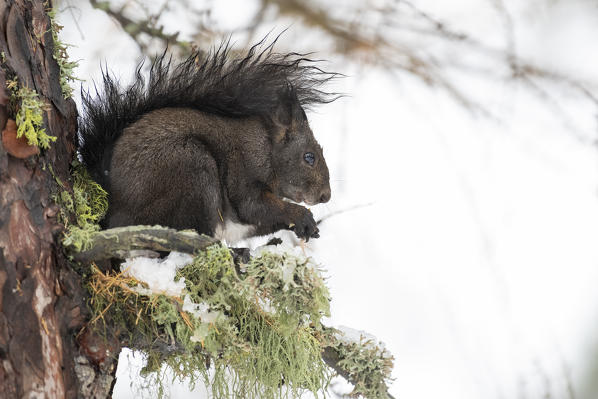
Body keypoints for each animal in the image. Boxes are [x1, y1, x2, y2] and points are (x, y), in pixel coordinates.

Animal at [79, 39, 340, 244]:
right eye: (309, 157)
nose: (325, 196)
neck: (266, 149)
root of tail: (113, 212)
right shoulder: (242, 174)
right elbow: (253, 206)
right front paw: (301, 215)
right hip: (192, 169)